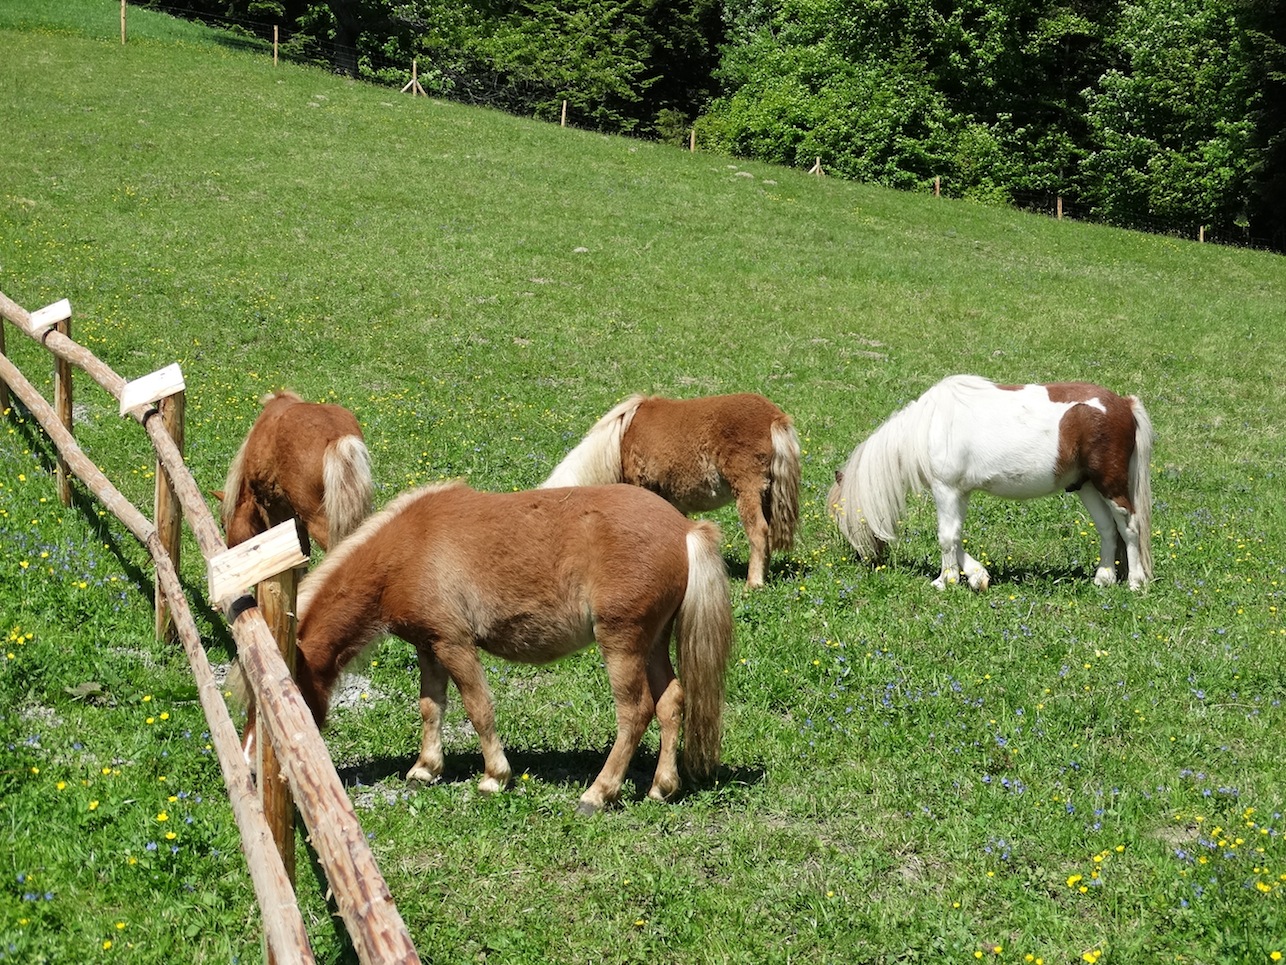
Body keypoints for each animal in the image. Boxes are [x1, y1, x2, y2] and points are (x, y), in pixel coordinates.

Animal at [291, 483, 735, 818]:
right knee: (670, 702)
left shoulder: (454, 644)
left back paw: (598, 793)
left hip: (622, 643)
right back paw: (662, 787)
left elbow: (478, 708)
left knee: (635, 711)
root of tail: (685, 529)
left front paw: (494, 777)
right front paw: (425, 769)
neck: (407, 549)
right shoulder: (429, 647)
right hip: (653, 643)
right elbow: (431, 707)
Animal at [537, 393, 797, 589]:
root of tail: (774, 418)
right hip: (766, 494)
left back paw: (753, 584)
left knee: (758, 532)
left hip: (747, 491)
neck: (620, 440)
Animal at [828, 375, 1162, 589]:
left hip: (1110, 485)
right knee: (1107, 529)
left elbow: (946, 537)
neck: (929, 427)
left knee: (1129, 527)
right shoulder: (959, 493)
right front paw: (977, 576)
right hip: (1088, 486)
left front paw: (944, 581)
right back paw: (1104, 578)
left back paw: (1135, 582)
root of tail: (1124, 404)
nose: (866, 560)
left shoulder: (945, 490)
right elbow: (956, 535)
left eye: (843, 519)